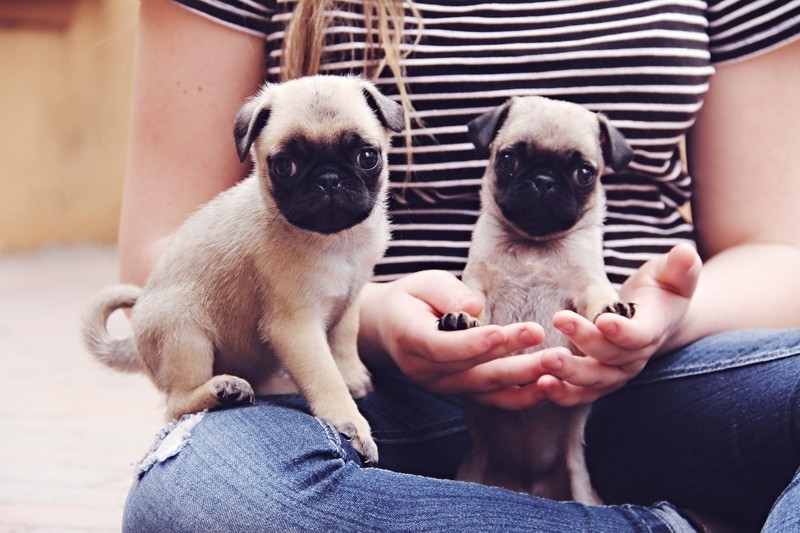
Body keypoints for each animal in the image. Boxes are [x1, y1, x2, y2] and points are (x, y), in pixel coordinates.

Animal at [84, 75, 404, 462]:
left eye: (367, 157)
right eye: (285, 166)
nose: (329, 178)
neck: (339, 241)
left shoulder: (350, 300)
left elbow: (344, 341)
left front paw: (353, 375)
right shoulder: (295, 328)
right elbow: (325, 376)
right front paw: (350, 423)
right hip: (184, 333)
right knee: (176, 405)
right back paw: (223, 389)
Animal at [438, 96, 636, 502]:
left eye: (584, 173)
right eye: (509, 160)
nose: (543, 180)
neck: (534, 245)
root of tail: (529, 483)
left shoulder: (586, 283)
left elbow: (598, 296)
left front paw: (612, 307)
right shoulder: (479, 283)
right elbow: (472, 301)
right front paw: (462, 318)